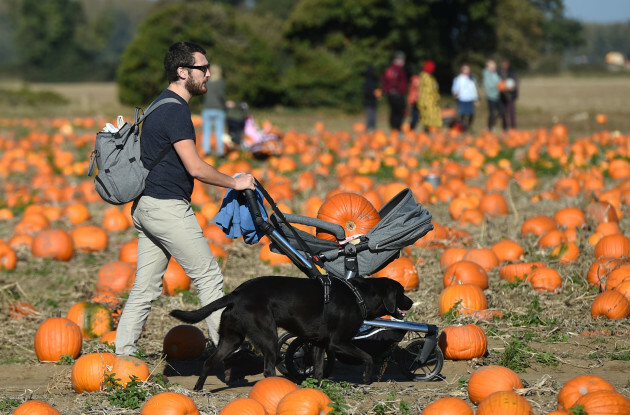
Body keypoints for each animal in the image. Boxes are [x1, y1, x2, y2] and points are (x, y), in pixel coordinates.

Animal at [170, 276, 414, 390]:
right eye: (402, 292)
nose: (411, 302)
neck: (358, 295)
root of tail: (237, 293)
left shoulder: (320, 344)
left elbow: (318, 370)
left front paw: (319, 388)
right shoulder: (338, 342)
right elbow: (368, 356)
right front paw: (366, 378)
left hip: (231, 339)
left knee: (209, 362)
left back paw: (198, 388)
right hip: (268, 337)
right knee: (268, 369)